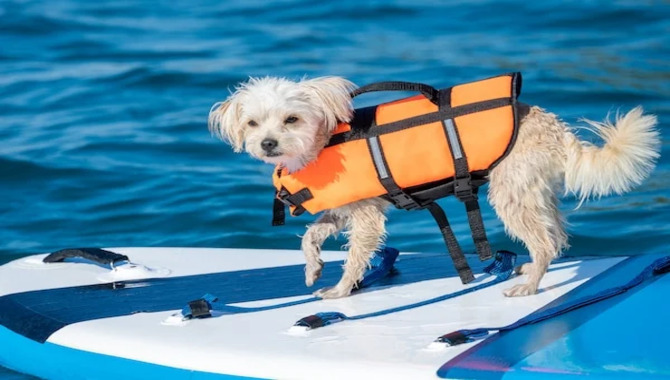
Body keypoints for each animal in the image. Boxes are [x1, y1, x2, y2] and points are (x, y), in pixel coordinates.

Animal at [210, 75, 660, 298]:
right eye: (252, 124)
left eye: (291, 120)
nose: (267, 144)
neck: (326, 140)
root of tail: (554, 127)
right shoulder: (346, 208)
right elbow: (311, 235)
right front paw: (312, 269)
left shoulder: (367, 217)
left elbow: (355, 256)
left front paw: (339, 290)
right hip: (532, 191)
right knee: (557, 235)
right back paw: (532, 268)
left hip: (509, 195)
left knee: (547, 242)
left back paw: (530, 285)